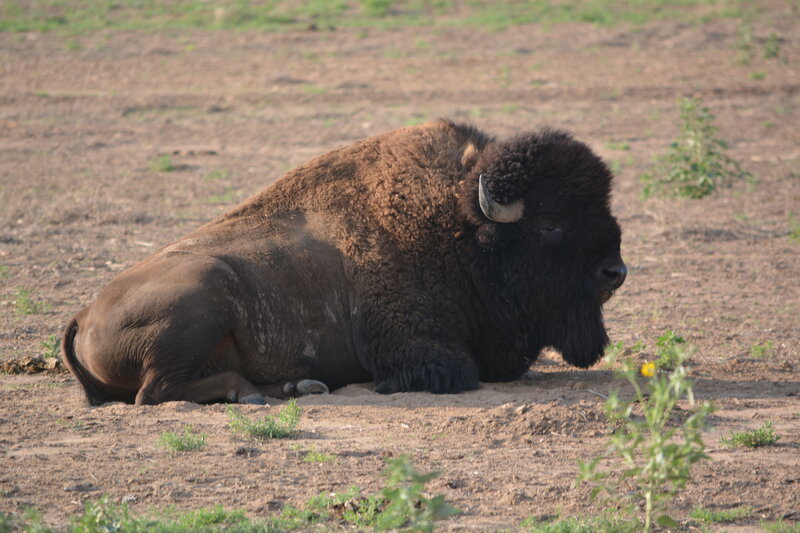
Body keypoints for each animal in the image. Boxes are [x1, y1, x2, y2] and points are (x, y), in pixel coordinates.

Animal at [62, 120, 626, 405]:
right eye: (550, 224)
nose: (615, 273)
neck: (460, 225)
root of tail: (84, 314)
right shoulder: (419, 349)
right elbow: (453, 370)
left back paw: (298, 386)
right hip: (204, 295)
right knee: (154, 391)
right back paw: (250, 394)